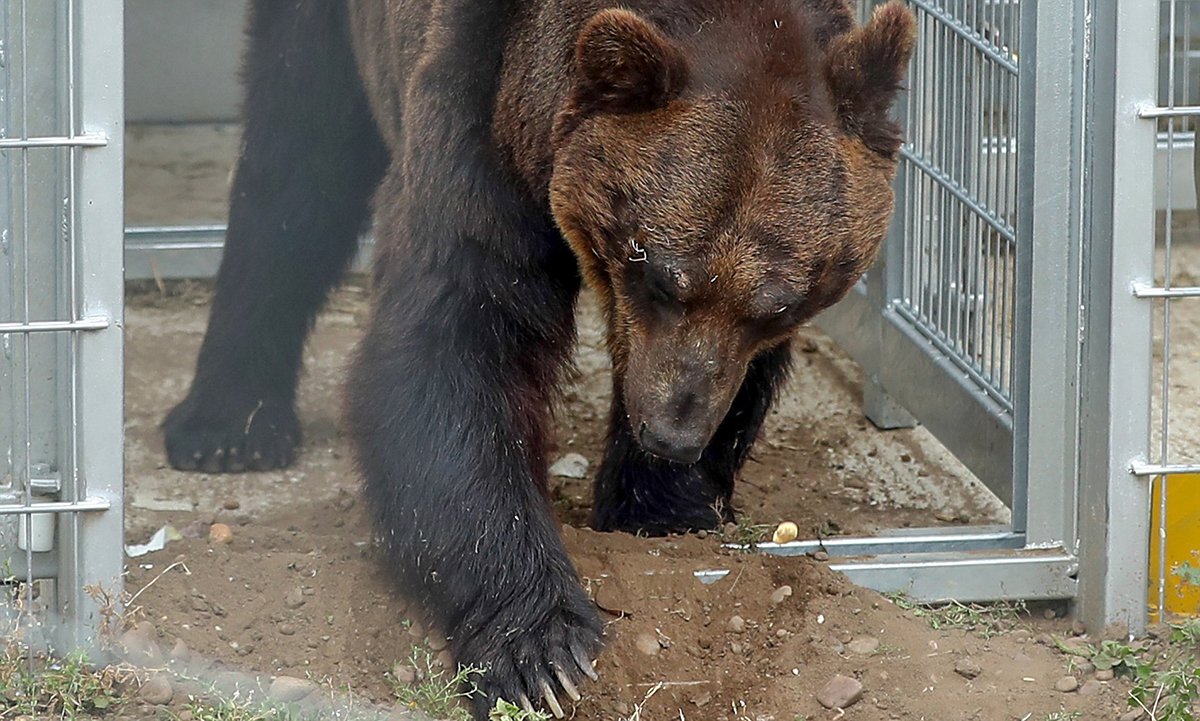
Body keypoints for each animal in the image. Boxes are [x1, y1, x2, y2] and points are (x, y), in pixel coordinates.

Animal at [162, 0, 915, 717]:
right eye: (655, 270)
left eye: (779, 306)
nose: (671, 433)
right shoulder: (478, 107)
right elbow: (454, 345)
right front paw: (542, 650)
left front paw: (663, 507)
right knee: (294, 165)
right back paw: (226, 424)